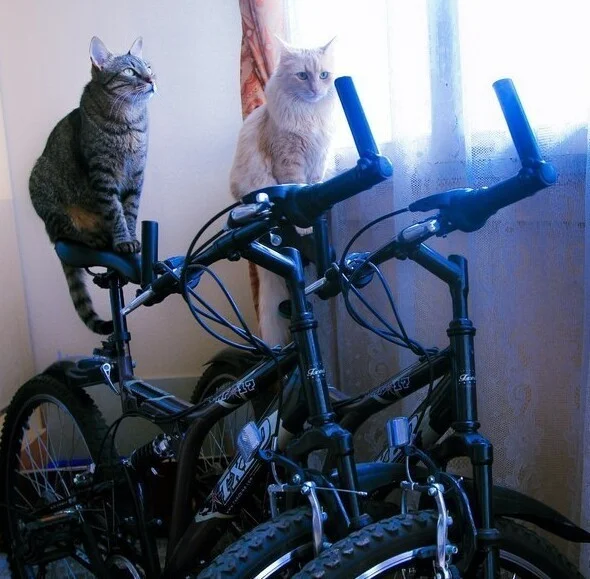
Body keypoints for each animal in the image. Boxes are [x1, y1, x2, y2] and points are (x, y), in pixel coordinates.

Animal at [29, 36, 155, 334]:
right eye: (130, 71)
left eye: (148, 67)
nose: (152, 79)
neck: (129, 121)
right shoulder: (103, 174)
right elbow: (115, 211)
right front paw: (123, 240)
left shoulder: (136, 176)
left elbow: (129, 212)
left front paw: (131, 239)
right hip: (47, 194)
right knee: (63, 234)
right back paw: (93, 237)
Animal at [230, 38, 337, 347]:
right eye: (302, 76)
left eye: (323, 75)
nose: (315, 90)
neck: (310, 115)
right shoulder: (288, 159)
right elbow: (298, 191)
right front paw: (304, 226)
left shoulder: (318, 160)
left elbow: (315, 187)